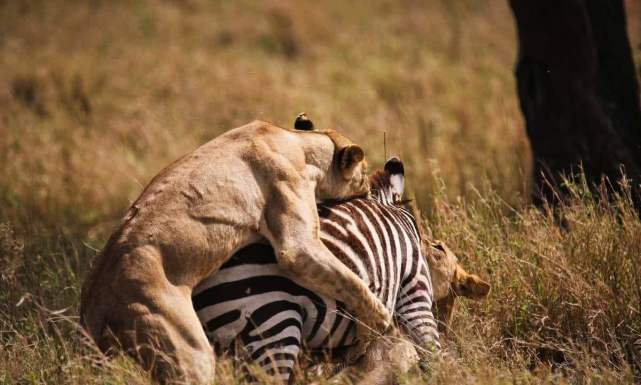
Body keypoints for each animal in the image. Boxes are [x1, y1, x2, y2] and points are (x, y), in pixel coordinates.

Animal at [80, 118, 390, 382]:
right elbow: (351, 282)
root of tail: (95, 295)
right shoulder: (297, 245)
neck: (301, 144)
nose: (369, 190)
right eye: (363, 172)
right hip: (190, 351)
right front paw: (378, 325)